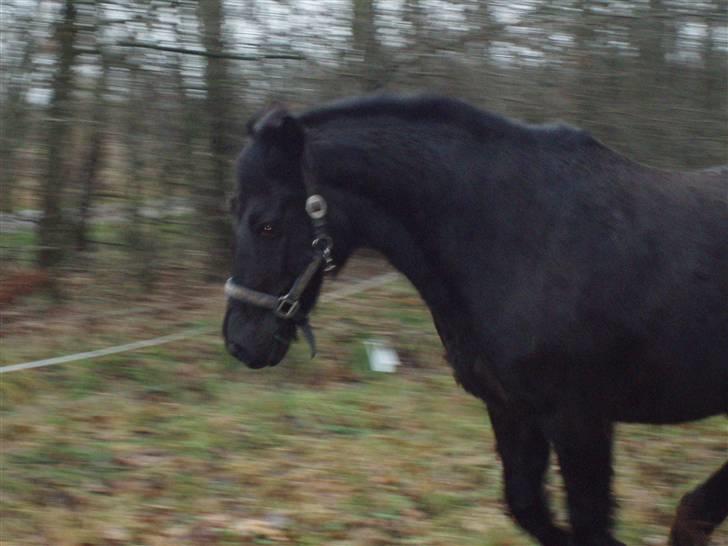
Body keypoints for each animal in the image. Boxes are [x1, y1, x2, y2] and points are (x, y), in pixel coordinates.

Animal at [222, 94, 728, 546]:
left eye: (267, 224)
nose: (239, 341)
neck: (520, 239)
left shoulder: (579, 420)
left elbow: (590, 526)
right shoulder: (510, 409)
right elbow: (527, 507)